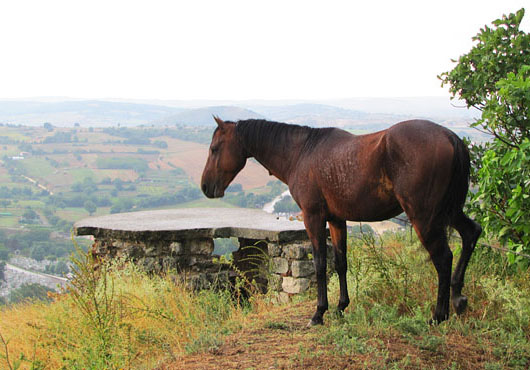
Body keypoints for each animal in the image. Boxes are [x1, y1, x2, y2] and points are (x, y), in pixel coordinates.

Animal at [200, 117, 480, 326]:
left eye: (214, 149)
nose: (205, 187)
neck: (301, 153)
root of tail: (449, 136)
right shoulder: (336, 220)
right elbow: (341, 263)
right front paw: (341, 307)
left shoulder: (313, 217)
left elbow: (321, 264)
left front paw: (319, 313)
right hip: (449, 211)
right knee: (471, 233)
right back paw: (458, 298)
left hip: (424, 217)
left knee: (443, 258)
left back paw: (439, 315)